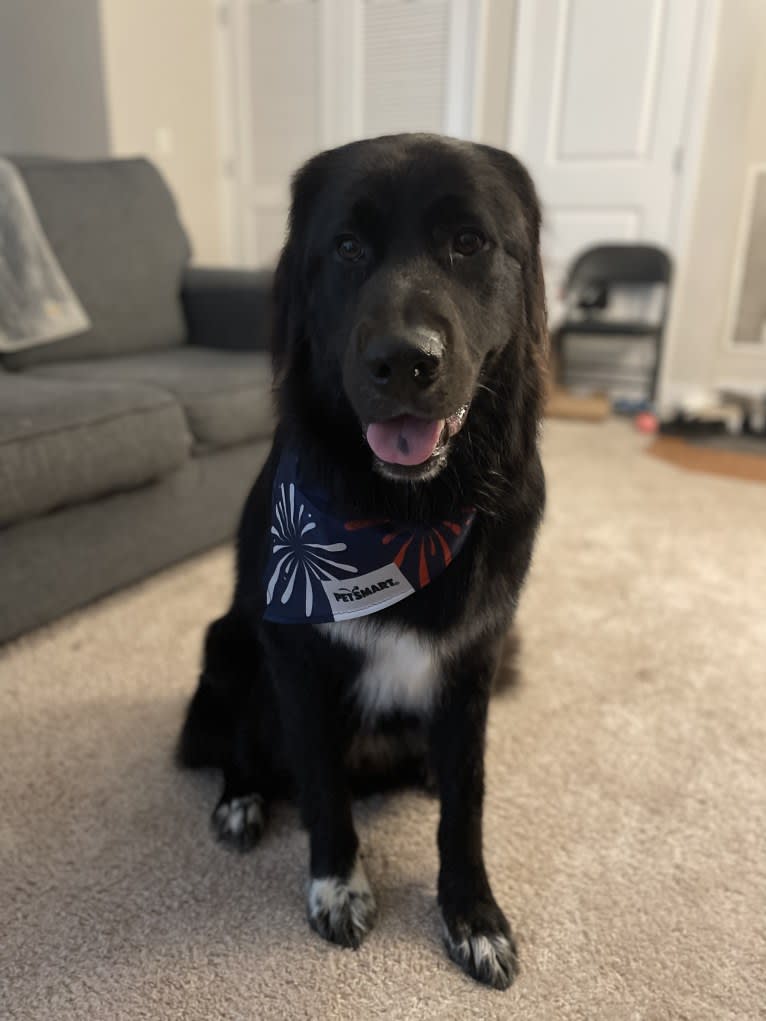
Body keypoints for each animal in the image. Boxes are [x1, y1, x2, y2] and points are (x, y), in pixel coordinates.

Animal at [176, 131, 547, 984]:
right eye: (346, 247)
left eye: (470, 242)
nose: (404, 362)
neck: (409, 519)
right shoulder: (297, 657)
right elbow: (322, 785)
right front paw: (337, 884)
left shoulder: (475, 656)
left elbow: (467, 801)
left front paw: (473, 913)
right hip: (227, 641)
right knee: (240, 745)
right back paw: (242, 800)